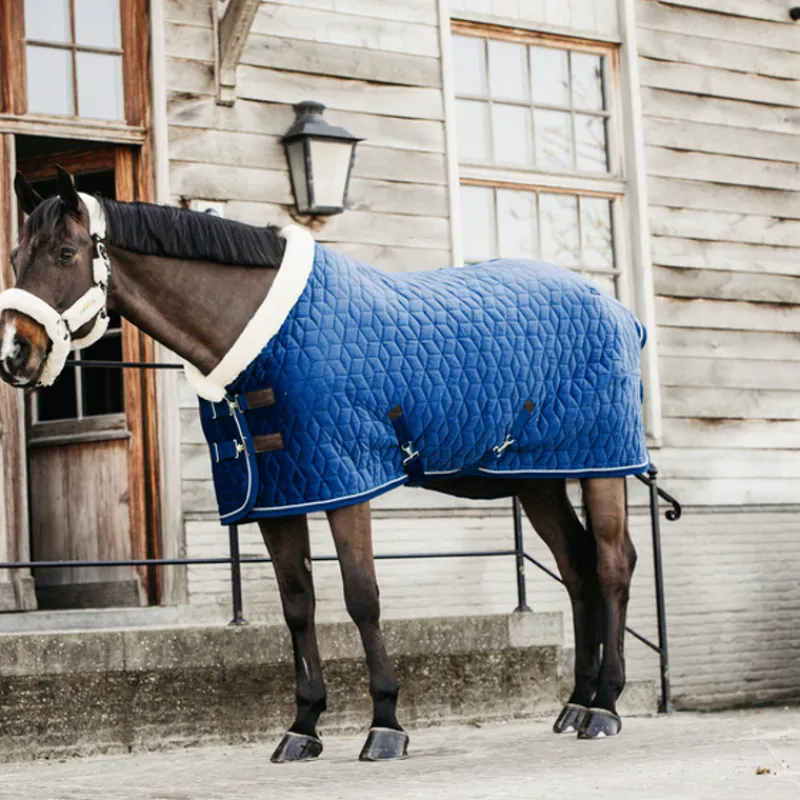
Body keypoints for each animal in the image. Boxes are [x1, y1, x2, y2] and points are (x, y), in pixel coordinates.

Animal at [0, 167, 642, 761]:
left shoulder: (344, 483)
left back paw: (605, 707)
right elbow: (297, 605)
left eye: (64, 253)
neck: (258, 336)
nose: (14, 354)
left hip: (604, 463)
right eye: (14, 256)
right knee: (578, 567)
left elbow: (361, 596)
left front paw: (385, 724)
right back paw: (576, 702)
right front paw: (303, 726)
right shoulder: (281, 494)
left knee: (612, 565)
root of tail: (617, 310)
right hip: (539, 478)